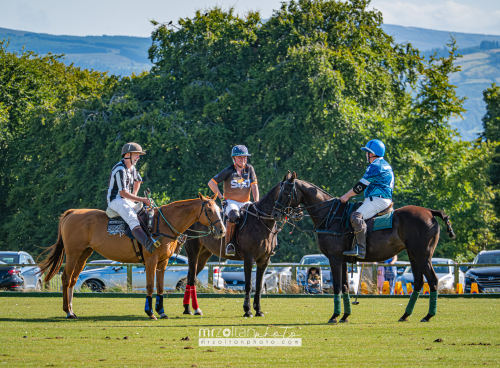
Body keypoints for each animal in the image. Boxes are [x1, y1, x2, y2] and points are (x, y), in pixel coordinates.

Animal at [39, 193, 225, 320]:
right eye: (209, 210)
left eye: (219, 209)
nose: (222, 230)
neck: (165, 224)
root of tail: (71, 212)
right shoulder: (151, 260)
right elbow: (150, 286)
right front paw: (150, 312)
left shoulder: (163, 262)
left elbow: (160, 287)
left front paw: (161, 311)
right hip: (72, 253)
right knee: (65, 278)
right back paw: (68, 312)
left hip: (84, 254)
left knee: (72, 279)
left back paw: (71, 310)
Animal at [183, 175, 288, 316]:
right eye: (286, 191)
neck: (261, 222)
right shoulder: (249, 258)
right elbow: (248, 285)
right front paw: (247, 310)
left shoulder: (264, 260)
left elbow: (259, 285)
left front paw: (258, 310)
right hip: (193, 251)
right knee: (190, 278)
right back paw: (189, 308)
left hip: (204, 255)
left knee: (191, 276)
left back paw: (188, 308)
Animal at [272, 172, 456, 322]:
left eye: (286, 192)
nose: (275, 213)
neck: (331, 216)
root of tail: (431, 212)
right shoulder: (343, 260)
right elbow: (345, 286)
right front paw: (345, 316)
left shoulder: (334, 258)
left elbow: (337, 286)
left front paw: (334, 316)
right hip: (413, 255)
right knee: (418, 282)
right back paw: (405, 315)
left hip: (422, 255)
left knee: (432, 280)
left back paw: (428, 315)